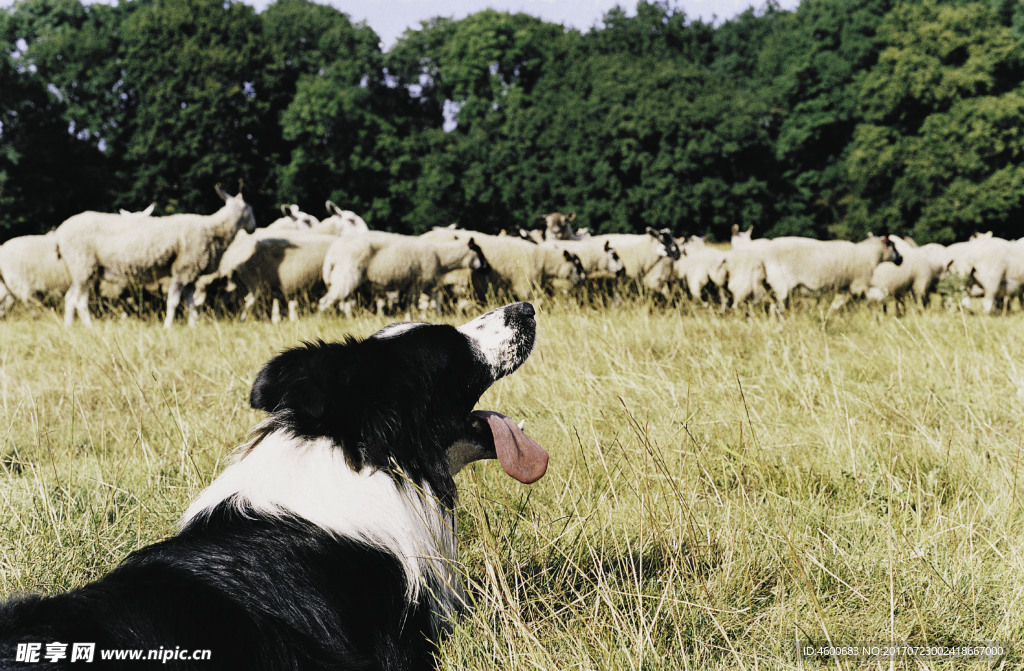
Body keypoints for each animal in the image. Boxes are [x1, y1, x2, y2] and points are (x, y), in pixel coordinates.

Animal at [56, 186, 256, 327]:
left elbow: (190, 303)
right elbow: (174, 302)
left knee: (70, 298)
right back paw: (89, 327)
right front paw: (168, 327)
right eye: (249, 208)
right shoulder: (182, 269)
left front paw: (193, 326)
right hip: (83, 264)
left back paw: (68, 326)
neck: (213, 229)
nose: (253, 228)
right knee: (80, 301)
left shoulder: (190, 274)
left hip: (81, 268)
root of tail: (60, 231)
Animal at [319, 231, 491, 317]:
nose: (488, 268)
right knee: (324, 302)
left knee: (345, 305)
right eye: (478, 251)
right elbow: (412, 306)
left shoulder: (424, 285)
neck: (440, 257)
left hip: (344, 280)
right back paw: (322, 321)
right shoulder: (417, 284)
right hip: (345, 277)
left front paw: (437, 314)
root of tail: (331, 255)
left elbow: (436, 297)